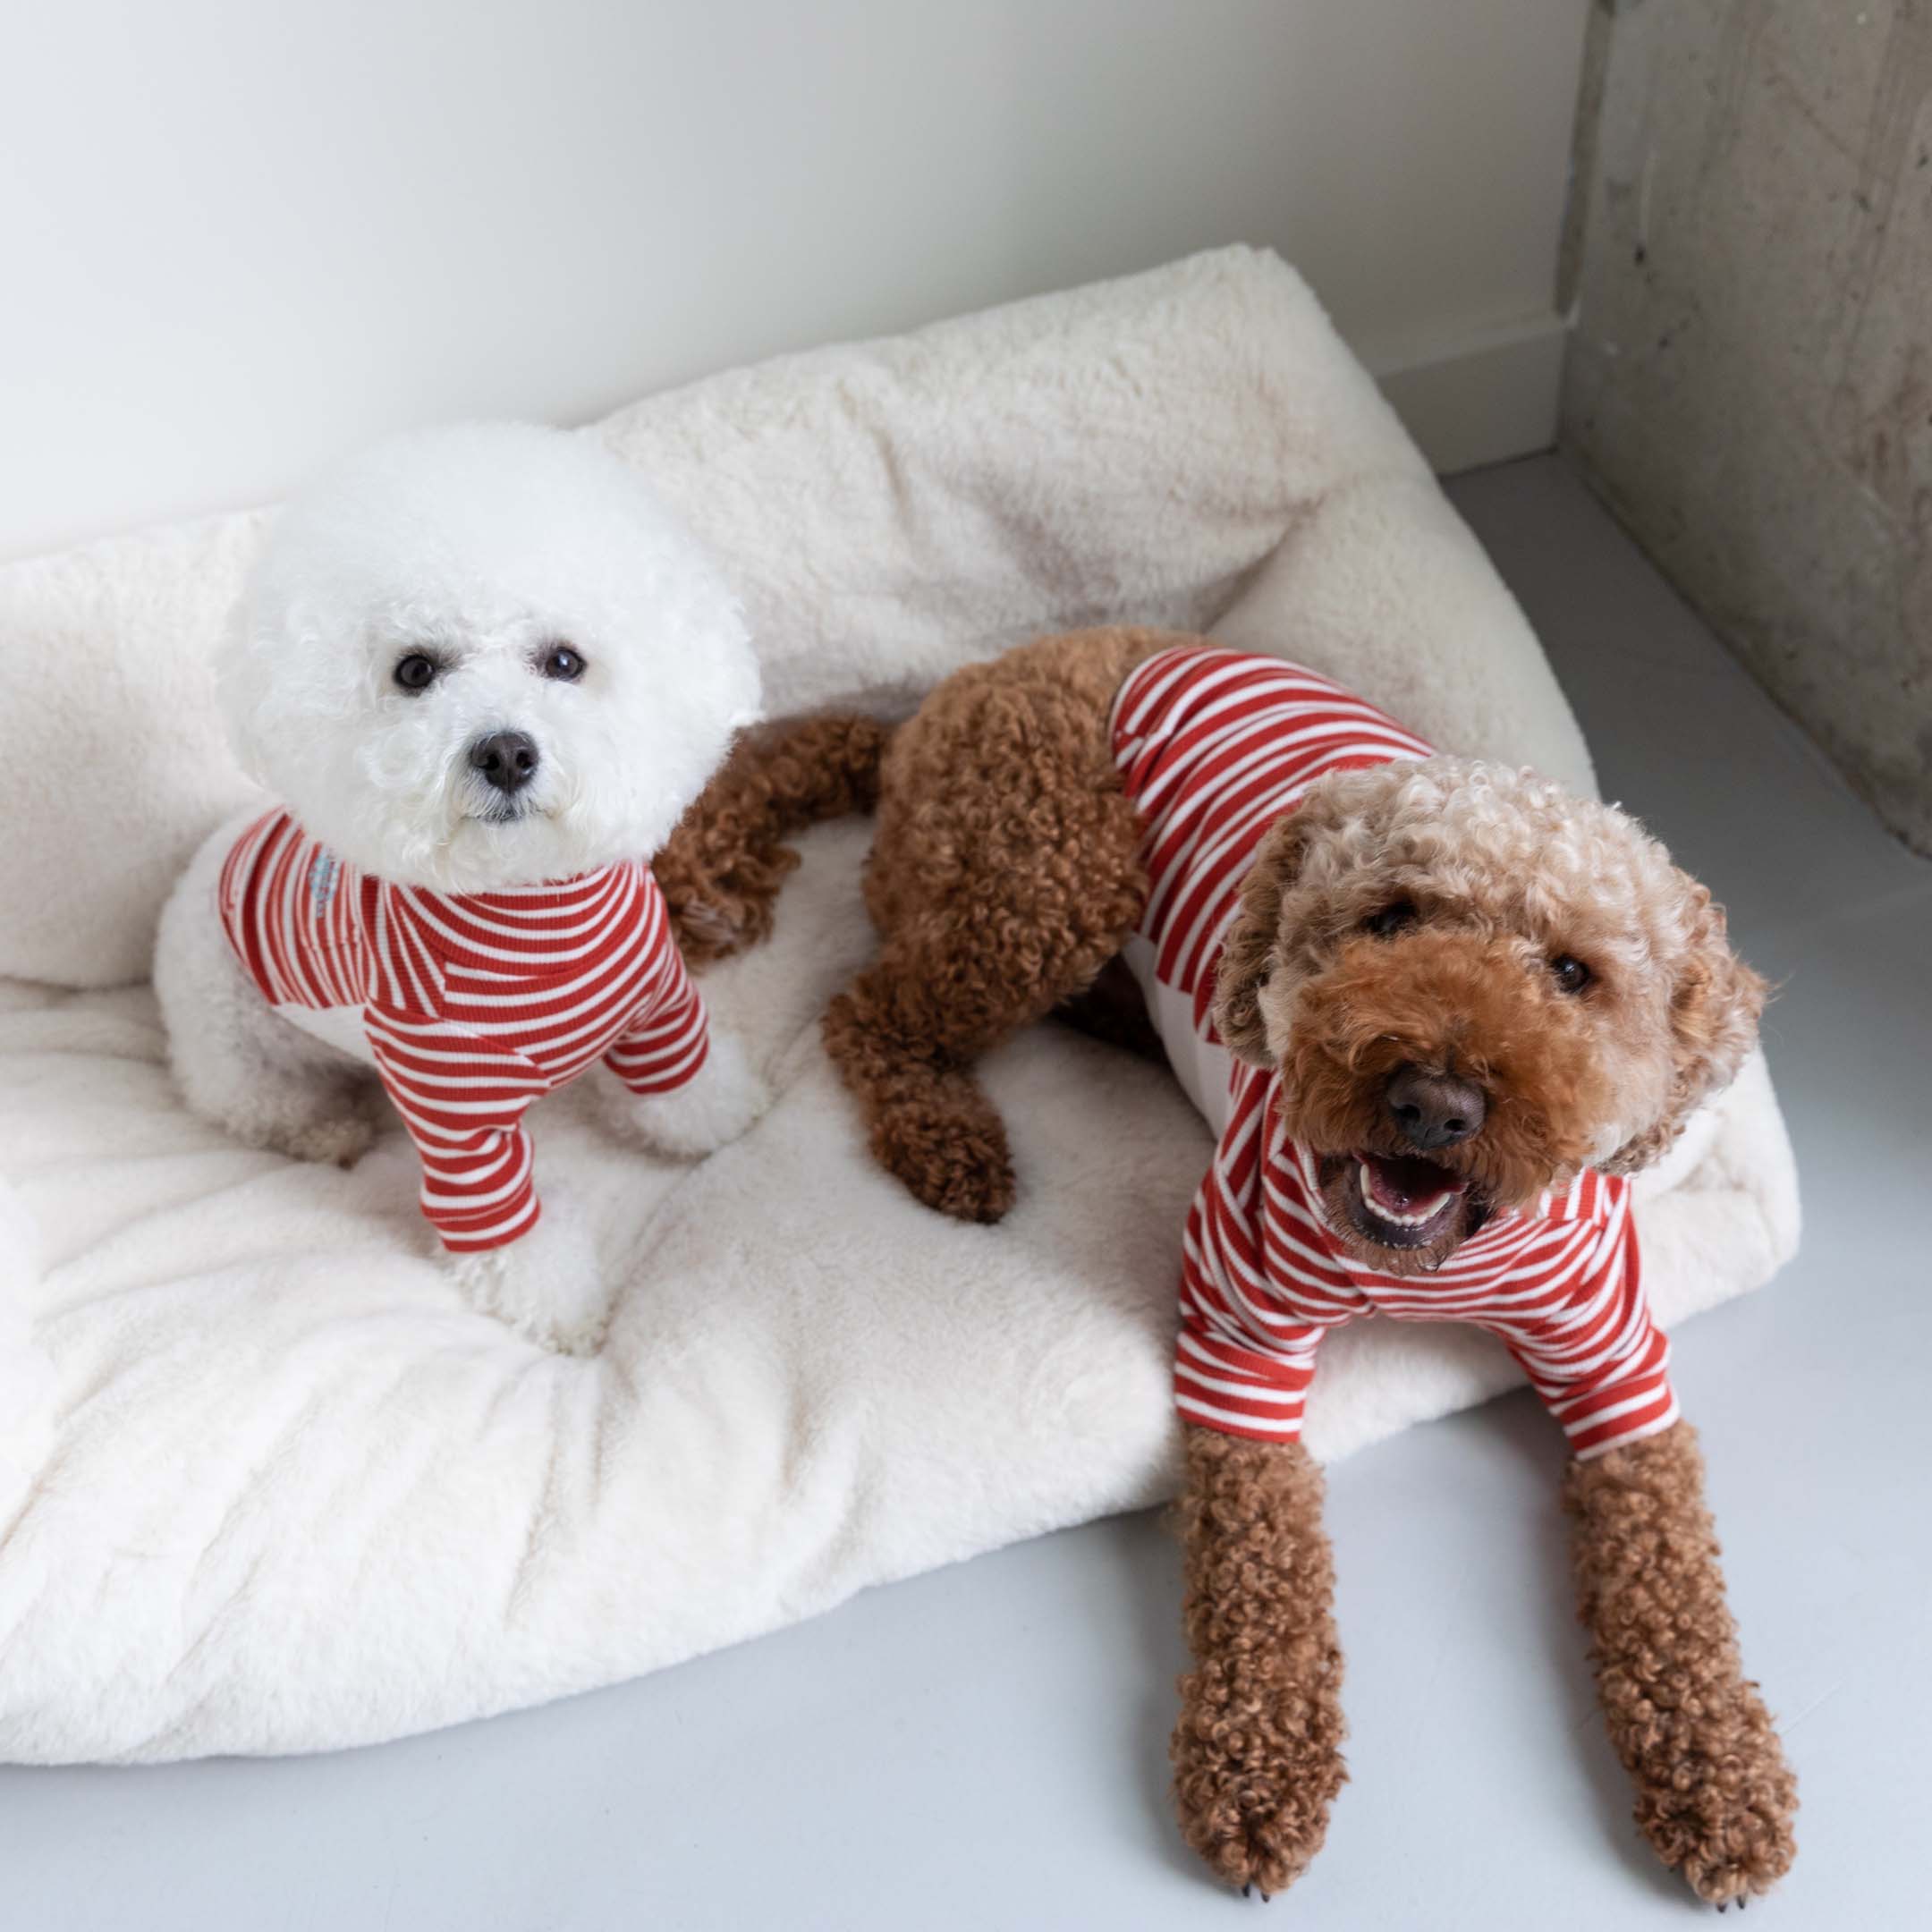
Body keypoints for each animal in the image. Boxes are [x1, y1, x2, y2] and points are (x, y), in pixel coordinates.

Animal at [152, 423, 768, 1360]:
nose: (505, 751)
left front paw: (719, 1121)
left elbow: (683, 1086)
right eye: (415, 671)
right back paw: (325, 1129)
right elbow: (508, 1235)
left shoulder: (658, 1005)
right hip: (232, 1049)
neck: (531, 913)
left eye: (564, 661)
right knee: (254, 1106)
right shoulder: (454, 1114)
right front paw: (562, 1308)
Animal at [665, 630, 1792, 1901]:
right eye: (1391, 919)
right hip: (1046, 870)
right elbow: (1260, 1564)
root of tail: (941, 699)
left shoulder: (1614, 1364)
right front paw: (1257, 1769)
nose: (1432, 1101)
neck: (1425, 1253)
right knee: (869, 1010)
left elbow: (1671, 1568)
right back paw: (949, 1141)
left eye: (1572, 974)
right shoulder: (1240, 1331)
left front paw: (1723, 1768)